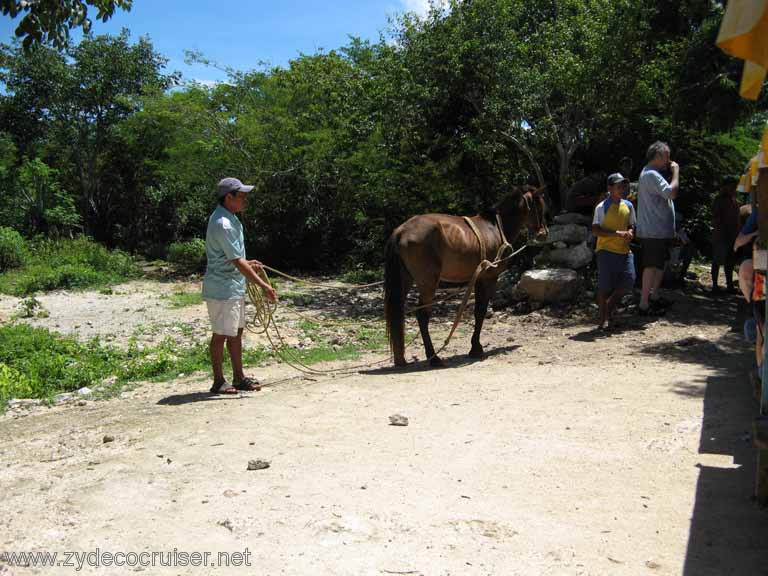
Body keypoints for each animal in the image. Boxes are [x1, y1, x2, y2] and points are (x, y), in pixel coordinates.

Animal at [384, 187, 544, 366]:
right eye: (539, 206)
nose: (544, 233)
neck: (495, 228)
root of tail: (400, 231)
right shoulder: (488, 278)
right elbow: (480, 311)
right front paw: (476, 348)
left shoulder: (478, 278)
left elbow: (478, 311)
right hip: (428, 283)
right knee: (422, 315)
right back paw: (433, 357)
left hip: (405, 280)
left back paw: (400, 359)